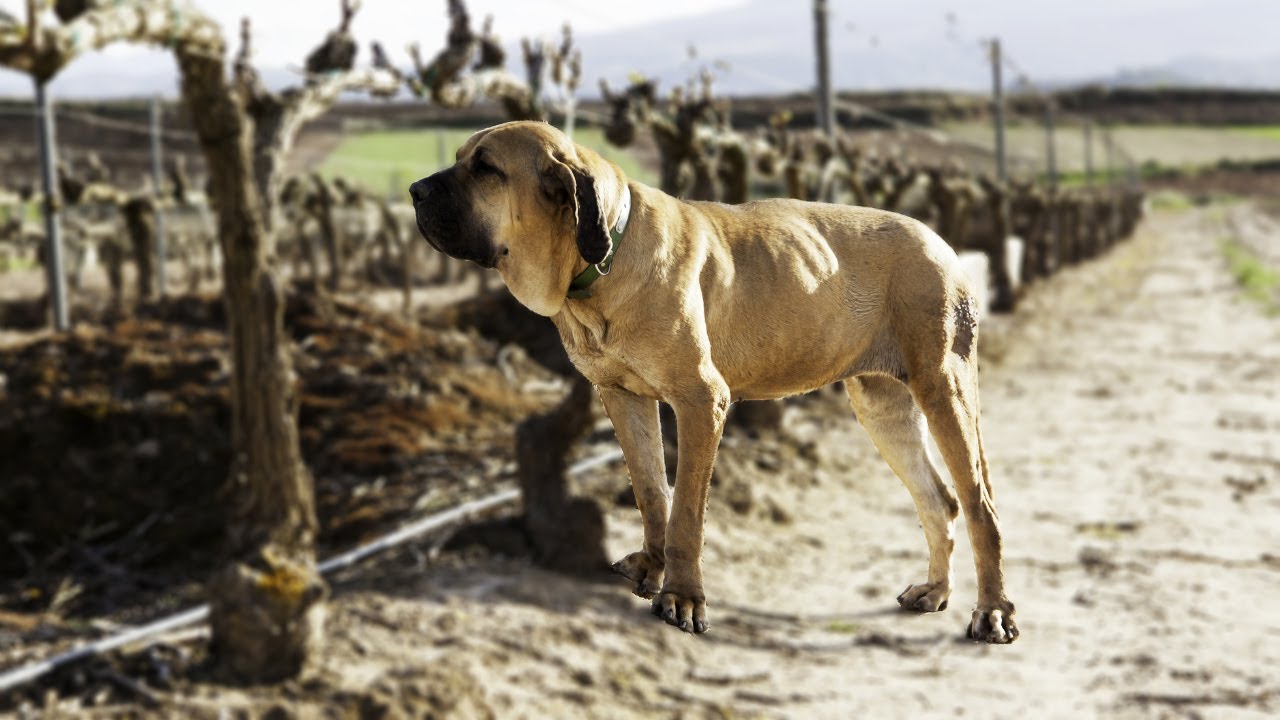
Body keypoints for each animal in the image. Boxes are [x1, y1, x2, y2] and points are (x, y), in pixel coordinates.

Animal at [409, 120, 1018, 640]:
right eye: (461, 157)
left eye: (486, 168)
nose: (414, 190)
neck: (606, 253)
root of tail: (939, 241)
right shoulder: (623, 398)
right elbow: (651, 491)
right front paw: (651, 568)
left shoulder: (701, 402)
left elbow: (686, 512)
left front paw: (682, 597)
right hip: (882, 405)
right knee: (939, 500)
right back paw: (936, 590)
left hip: (943, 388)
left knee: (982, 506)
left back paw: (990, 612)